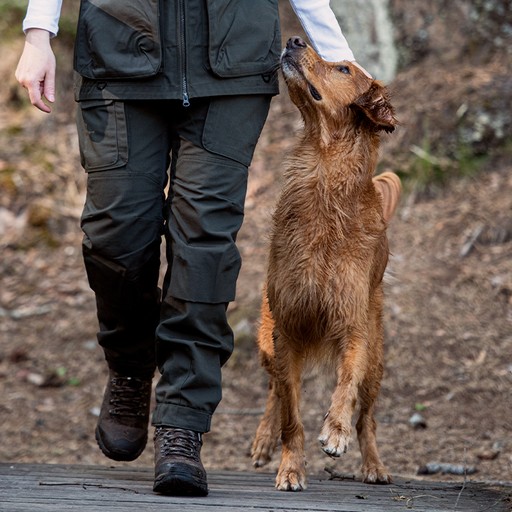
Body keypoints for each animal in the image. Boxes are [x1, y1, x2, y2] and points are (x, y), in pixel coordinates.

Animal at [250, 37, 402, 492]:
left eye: (344, 69)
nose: (295, 39)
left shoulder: (354, 327)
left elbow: (346, 385)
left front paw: (335, 431)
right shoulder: (287, 329)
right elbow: (290, 415)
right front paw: (290, 467)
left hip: (377, 358)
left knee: (368, 417)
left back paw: (373, 465)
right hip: (267, 336)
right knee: (274, 389)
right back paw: (264, 440)